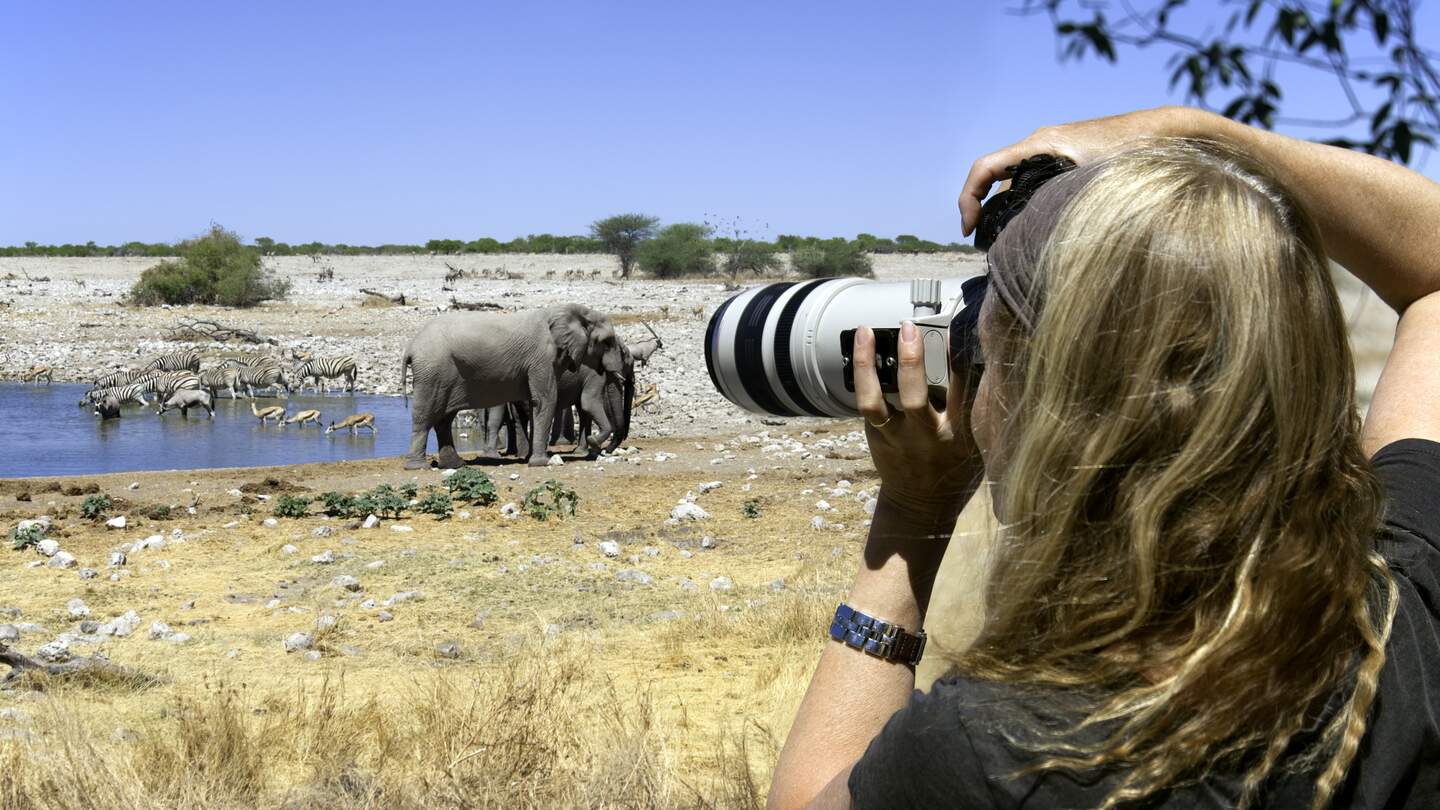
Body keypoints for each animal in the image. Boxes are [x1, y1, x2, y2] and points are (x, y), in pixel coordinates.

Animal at [400, 302, 624, 466]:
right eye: (607, 342)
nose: (596, 443)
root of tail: (410, 346)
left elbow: (536, 403)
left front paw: (533, 459)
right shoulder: (542, 359)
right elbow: (545, 400)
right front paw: (540, 463)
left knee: (444, 419)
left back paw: (455, 465)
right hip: (432, 371)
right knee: (424, 414)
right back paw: (418, 466)